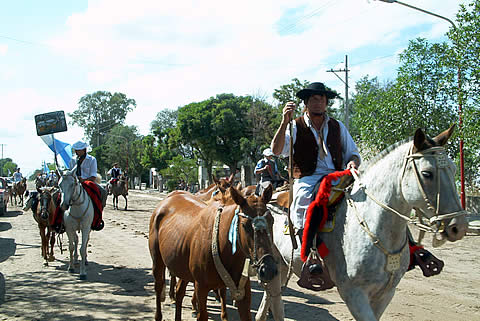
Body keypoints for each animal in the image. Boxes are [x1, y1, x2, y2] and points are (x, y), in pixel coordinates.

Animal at [150, 184, 278, 318]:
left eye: (272, 221)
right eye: (244, 225)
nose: (268, 269)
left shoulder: (243, 291)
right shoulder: (201, 287)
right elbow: (202, 314)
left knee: (179, 292)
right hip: (158, 261)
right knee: (159, 286)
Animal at [256, 125, 466, 320]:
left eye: (454, 169)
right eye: (427, 173)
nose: (458, 226)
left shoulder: (386, 293)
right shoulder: (354, 294)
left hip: (280, 264)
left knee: (272, 296)